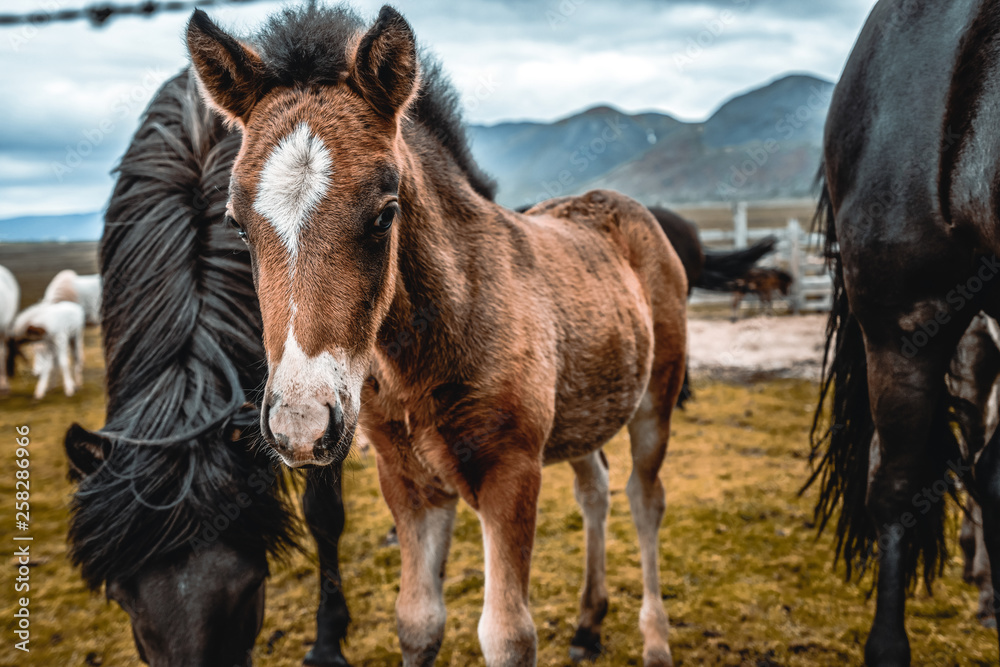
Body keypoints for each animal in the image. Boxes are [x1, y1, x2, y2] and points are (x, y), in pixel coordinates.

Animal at [186, 6, 688, 667]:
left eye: (384, 214)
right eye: (238, 225)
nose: (301, 426)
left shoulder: (511, 474)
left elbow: (507, 636)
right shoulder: (408, 480)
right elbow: (419, 622)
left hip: (656, 401)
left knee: (645, 500)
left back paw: (654, 639)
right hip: (586, 409)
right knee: (596, 493)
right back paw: (587, 625)